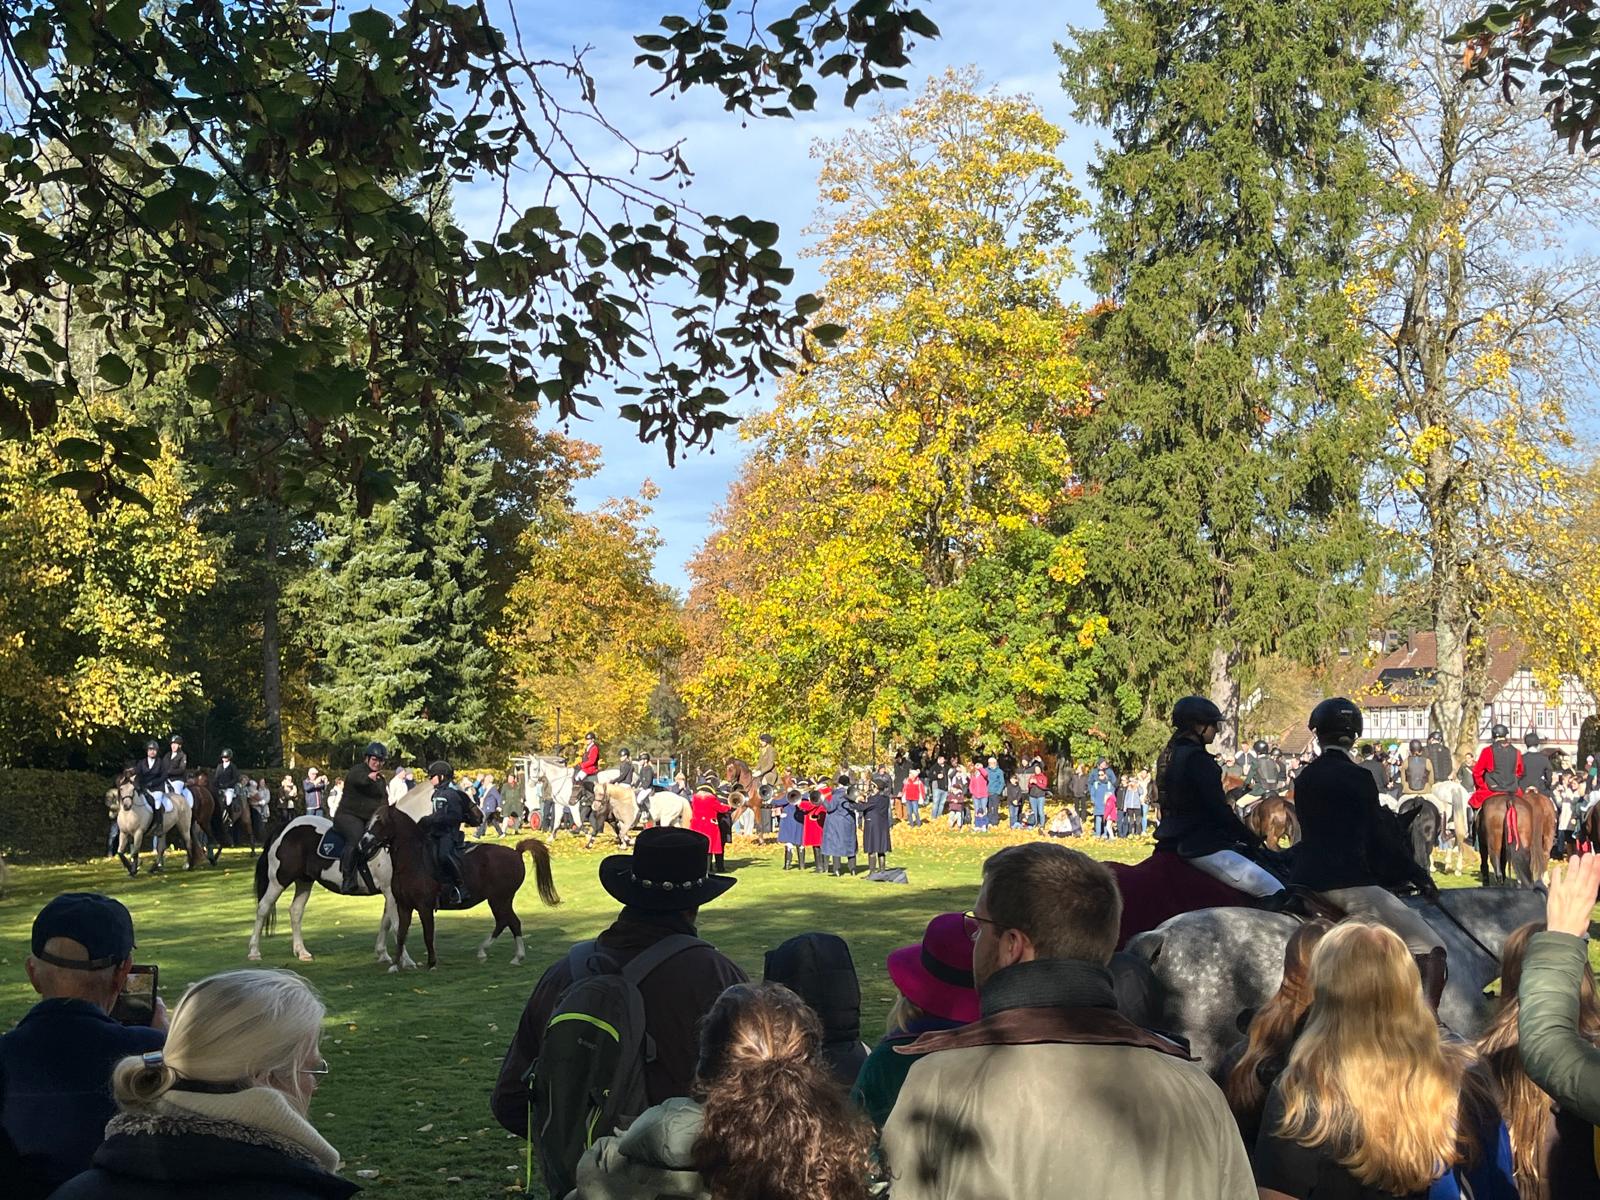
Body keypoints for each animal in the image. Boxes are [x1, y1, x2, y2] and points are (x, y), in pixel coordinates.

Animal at [369, 801, 561, 972]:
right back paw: (489, 951)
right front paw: (395, 965)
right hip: (499, 900)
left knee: (511, 922)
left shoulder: (424, 907)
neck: (413, 861)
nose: (365, 841)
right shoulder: (404, 906)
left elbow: (427, 935)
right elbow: (401, 934)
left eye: (381, 821)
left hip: (500, 899)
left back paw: (515, 955)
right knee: (505, 922)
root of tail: (516, 852)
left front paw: (431, 963)